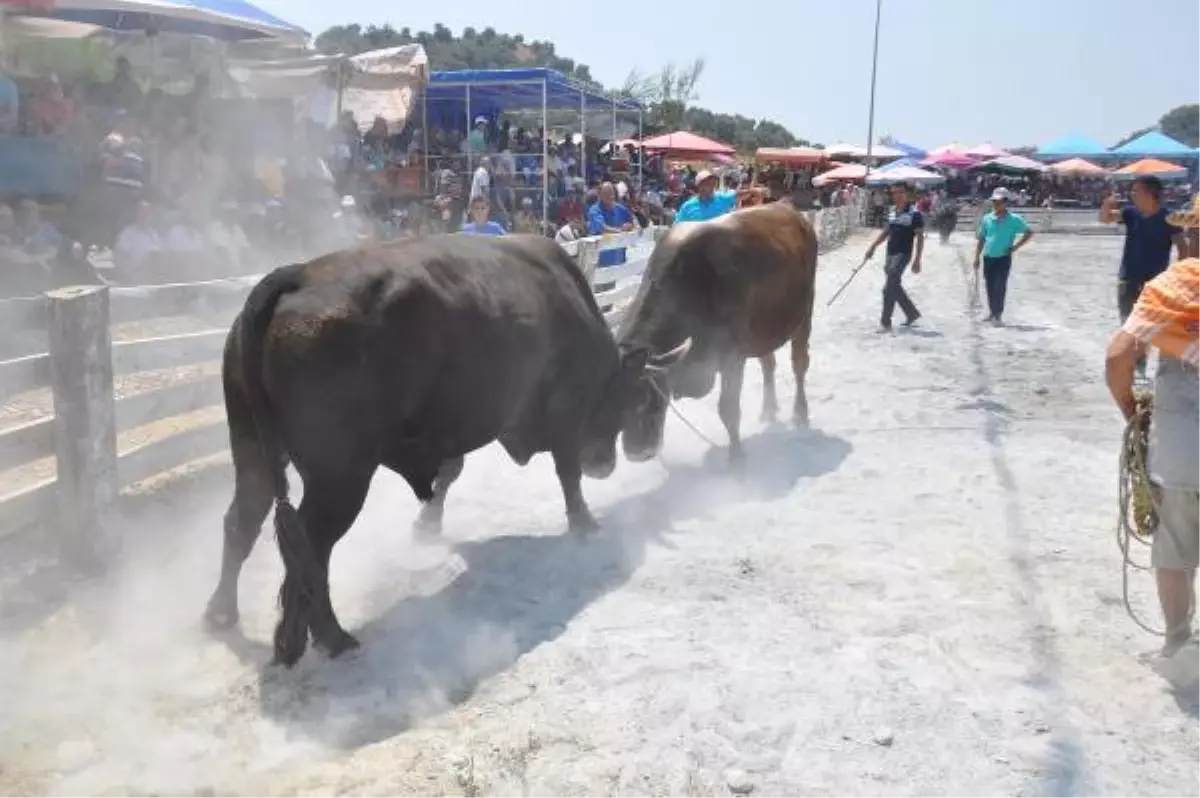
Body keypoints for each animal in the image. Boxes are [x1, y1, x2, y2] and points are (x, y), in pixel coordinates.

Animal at [206, 235, 691, 667]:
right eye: (643, 402)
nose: (611, 463)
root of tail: (296, 277)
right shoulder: (564, 414)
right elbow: (566, 472)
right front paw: (584, 522)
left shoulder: (451, 429)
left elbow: (446, 475)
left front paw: (428, 524)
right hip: (341, 477)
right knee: (311, 546)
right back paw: (330, 635)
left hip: (252, 452)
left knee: (241, 521)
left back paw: (223, 612)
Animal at [614, 200, 820, 460]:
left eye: (647, 396)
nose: (637, 452)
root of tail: (787, 207)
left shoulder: (733, 357)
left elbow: (728, 410)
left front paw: (736, 458)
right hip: (762, 331)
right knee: (768, 365)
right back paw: (768, 410)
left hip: (803, 315)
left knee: (799, 364)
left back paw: (800, 413)